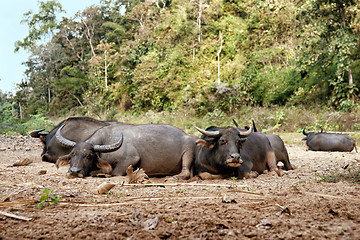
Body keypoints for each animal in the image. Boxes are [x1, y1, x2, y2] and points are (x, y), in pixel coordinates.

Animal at [54, 123, 195, 179]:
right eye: (72, 154)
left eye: (89, 156)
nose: (74, 171)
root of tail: (186, 135)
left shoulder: (131, 159)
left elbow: (113, 172)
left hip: (189, 150)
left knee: (186, 172)